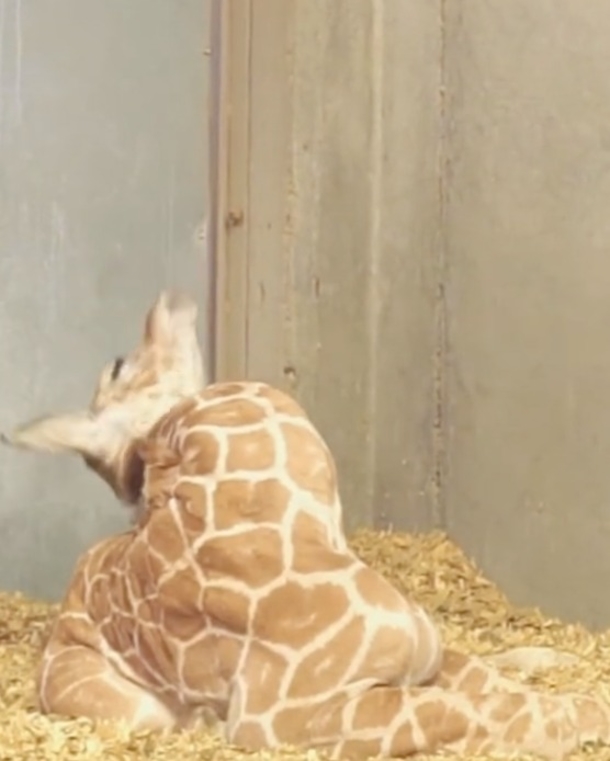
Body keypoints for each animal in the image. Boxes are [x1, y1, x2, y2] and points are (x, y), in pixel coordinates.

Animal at [2, 289, 610, 760]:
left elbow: (495, 689)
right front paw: (589, 713)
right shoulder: (297, 715)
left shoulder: (423, 659)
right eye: (117, 365)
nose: (167, 298)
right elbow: (483, 713)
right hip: (132, 708)